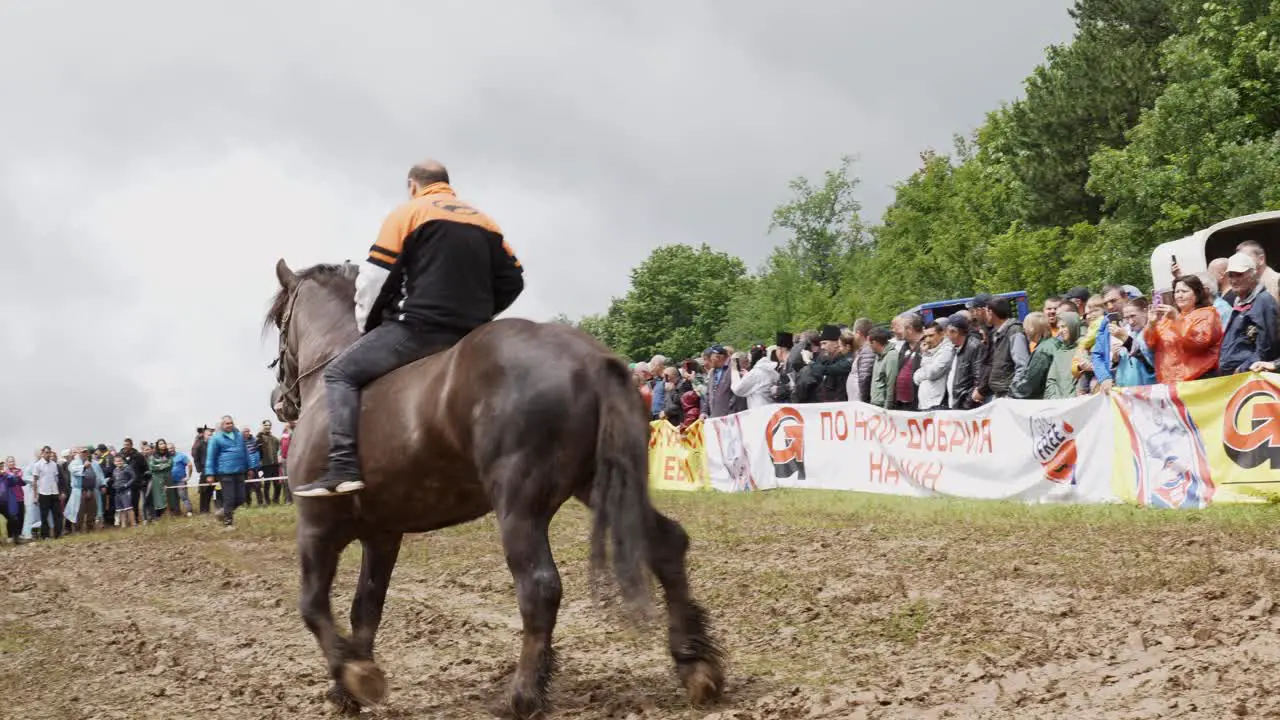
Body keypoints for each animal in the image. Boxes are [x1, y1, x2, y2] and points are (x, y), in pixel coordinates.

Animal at [264, 258, 727, 717]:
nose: (278, 401)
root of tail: (590, 358)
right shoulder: (382, 536)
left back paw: (523, 695)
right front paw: (348, 687)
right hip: (603, 485)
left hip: (520, 506)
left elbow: (312, 606)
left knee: (539, 587)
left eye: (278, 320)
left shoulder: (317, 529)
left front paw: (356, 676)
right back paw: (696, 665)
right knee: (666, 544)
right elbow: (366, 607)